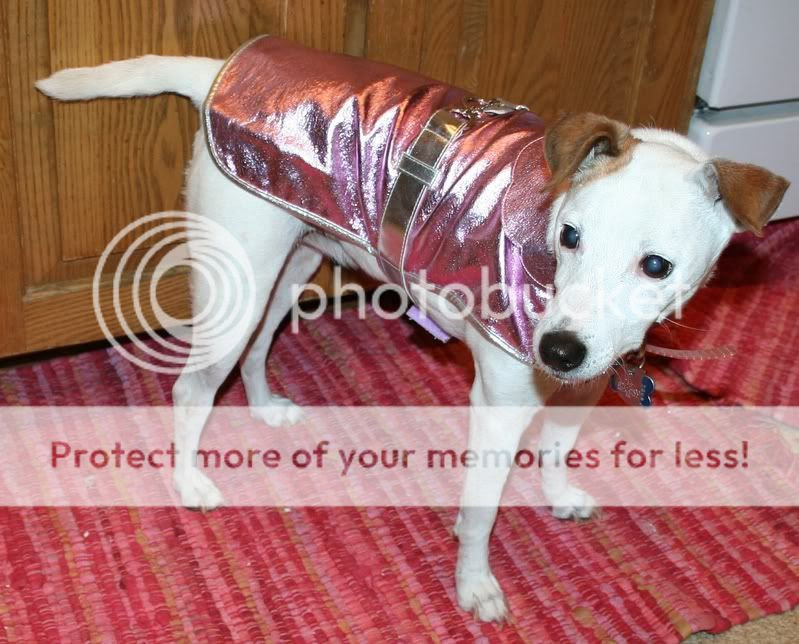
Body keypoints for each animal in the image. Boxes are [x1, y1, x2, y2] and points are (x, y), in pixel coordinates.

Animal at [37, 37, 788, 622]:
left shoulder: (584, 386)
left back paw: (265, 408)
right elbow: (481, 513)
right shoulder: (499, 408)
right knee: (192, 391)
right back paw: (190, 483)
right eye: (570, 235)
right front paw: (474, 584)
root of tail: (223, 67)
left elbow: (557, 449)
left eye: (655, 265)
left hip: (291, 267)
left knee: (255, 353)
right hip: (239, 283)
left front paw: (557, 496)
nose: (557, 348)